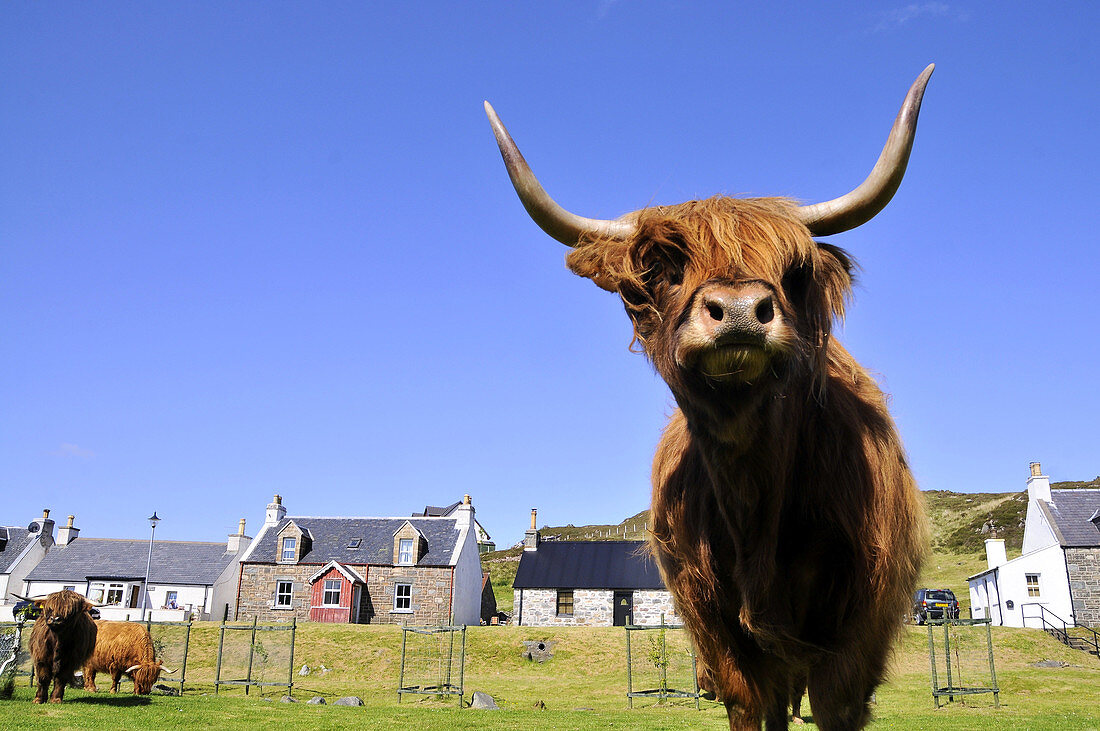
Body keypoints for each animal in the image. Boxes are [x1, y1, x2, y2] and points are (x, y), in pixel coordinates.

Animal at [490, 65, 937, 725]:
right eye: (661, 271)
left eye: (794, 270)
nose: (741, 311)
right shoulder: (719, 632)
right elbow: (751, 704)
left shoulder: (857, 633)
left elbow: (835, 703)